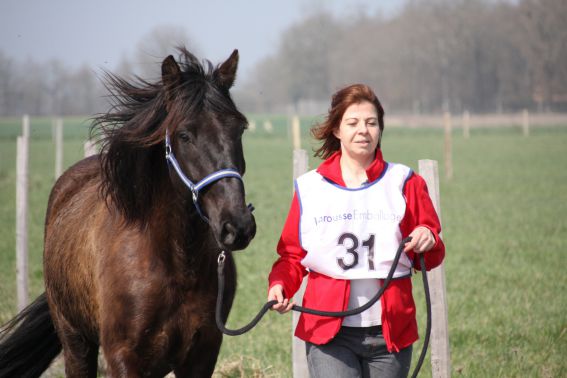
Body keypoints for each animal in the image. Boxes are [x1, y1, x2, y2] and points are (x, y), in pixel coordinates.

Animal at [0, 48, 256, 378]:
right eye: (184, 135)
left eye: (239, 128)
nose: (237, 226)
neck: (174, 265)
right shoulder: (122, 358)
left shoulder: (201, 357)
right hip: (75, 342)